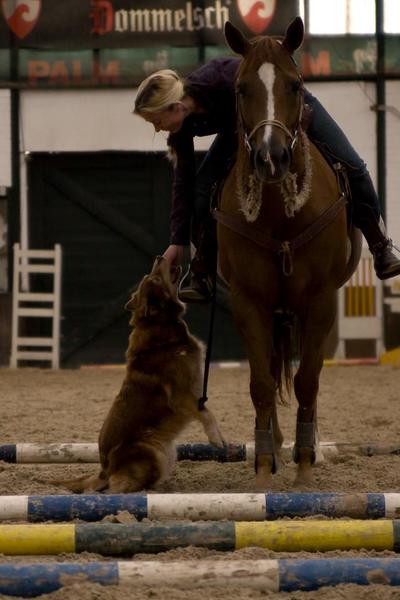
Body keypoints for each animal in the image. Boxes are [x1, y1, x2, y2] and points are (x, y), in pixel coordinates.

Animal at [54, 255, 223, 494]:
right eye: (155, 278)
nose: (160, 257)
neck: (161, 327)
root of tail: (105, 469)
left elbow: (207, 410)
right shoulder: (180, 394)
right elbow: (207, 413)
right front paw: (217, 439)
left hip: (166, 454)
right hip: (151, 453)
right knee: (114, 490)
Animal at [217, 17, 360, 488]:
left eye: (295, 85)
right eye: (241, 88)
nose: (271, 157)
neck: (281, 216)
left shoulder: (320, 302)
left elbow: (307, 381)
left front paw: (305, 466)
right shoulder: (248, 302)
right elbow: (261, 383)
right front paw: (264, 468)